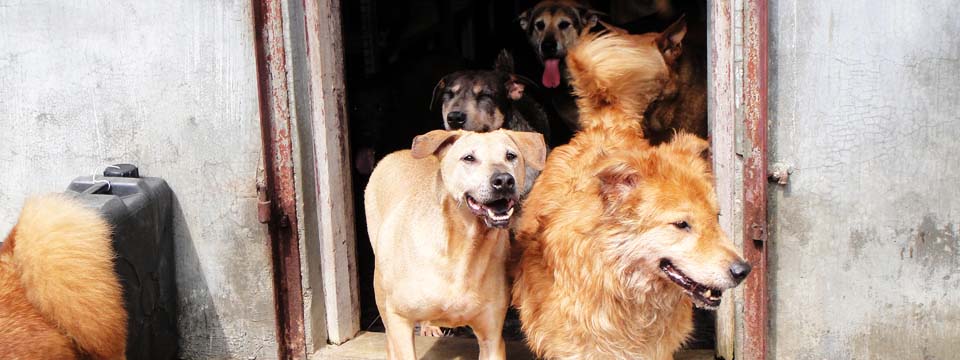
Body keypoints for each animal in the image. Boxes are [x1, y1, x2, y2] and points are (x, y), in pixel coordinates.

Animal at [366, 130, 548, 360]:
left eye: (511, 156)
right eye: (468, 158)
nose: (505, 180)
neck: (464, 249)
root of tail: (399, 152)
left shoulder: (492, 338)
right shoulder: (400, 319)